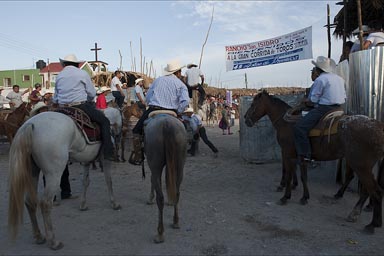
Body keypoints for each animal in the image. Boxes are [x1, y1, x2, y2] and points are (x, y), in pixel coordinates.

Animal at [8, 111, 121, 250]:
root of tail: (30, 124)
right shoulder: (104, 157)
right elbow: (108, 180)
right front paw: (114, 203)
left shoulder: (86, 160)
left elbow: (86, 181)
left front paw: (83, 205)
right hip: (54, 173)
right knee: (45, 203)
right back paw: (53, 242)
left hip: (32, 171)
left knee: (30, 202)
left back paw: (39, 237)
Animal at [244, 90, 384, 234]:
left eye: (253, 104)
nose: (245, 118)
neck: (286, 123)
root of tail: (378, 127)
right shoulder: (300, 156)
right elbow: (303, 176)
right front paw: (304, 197)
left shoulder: (288, 154)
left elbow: (289, 175)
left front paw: (285, 196)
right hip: (364, 166)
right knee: (366, 188)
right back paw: (355, 211)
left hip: (361, 166)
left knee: (375, 191)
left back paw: (372, 223)